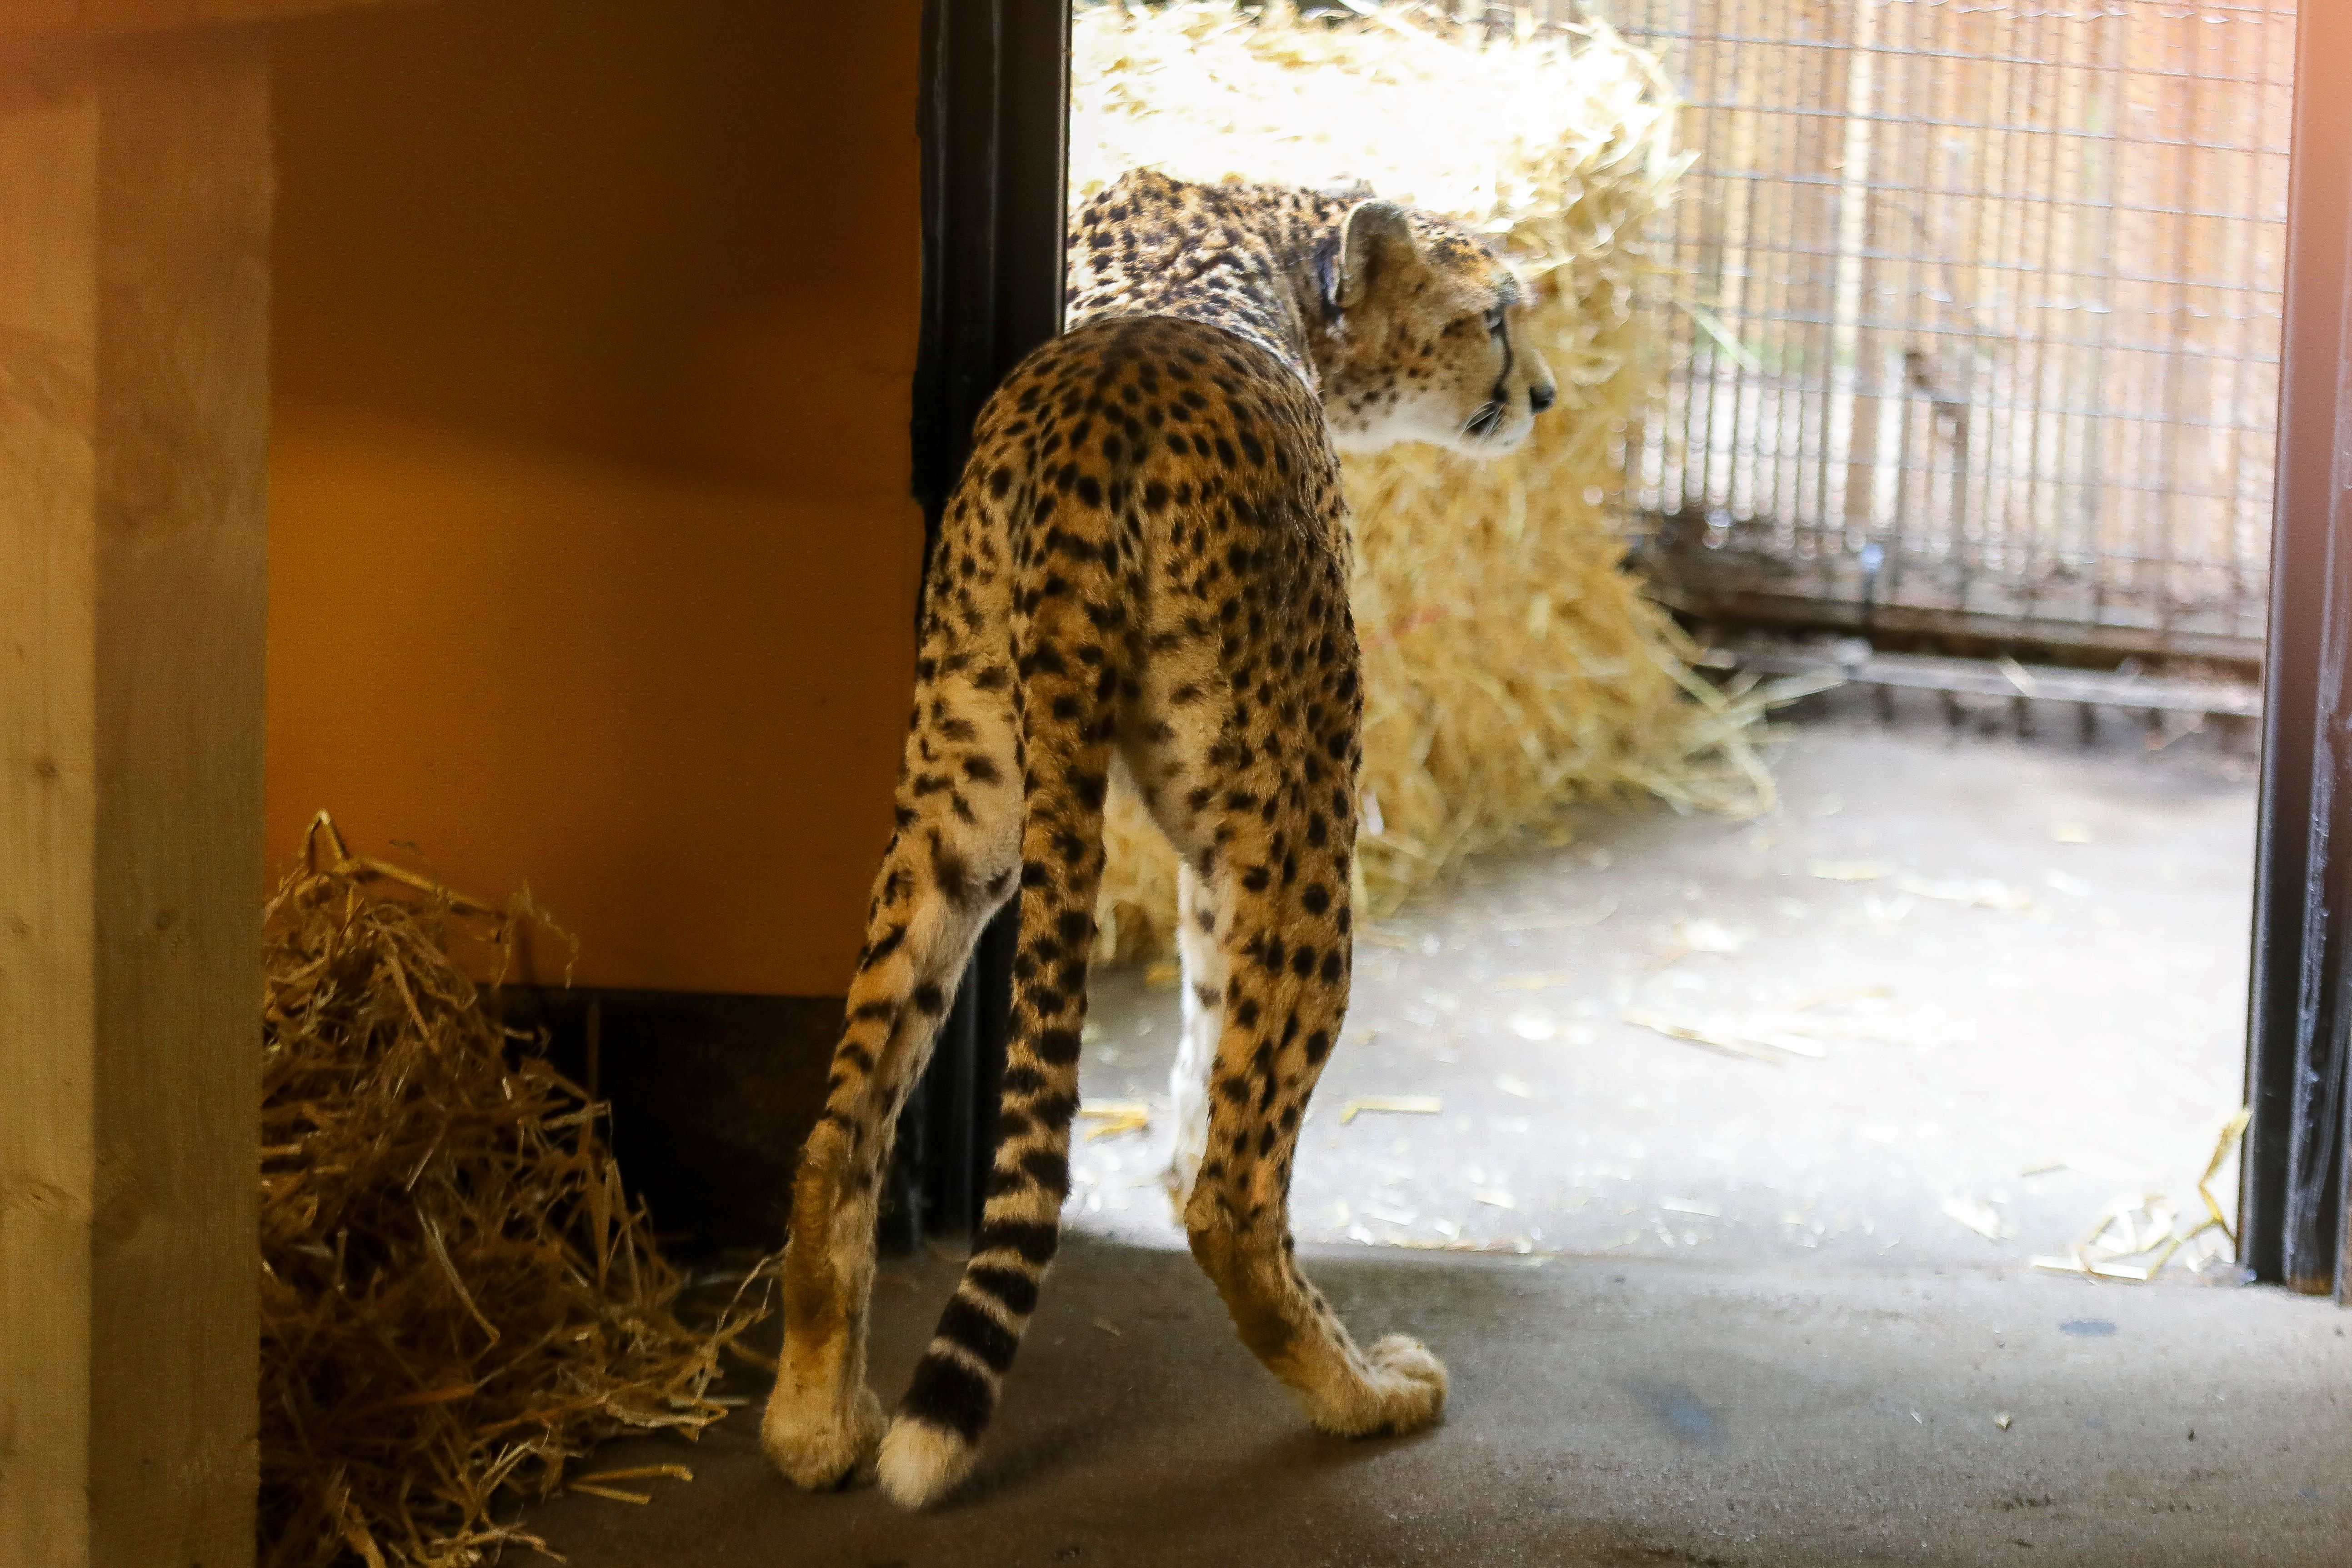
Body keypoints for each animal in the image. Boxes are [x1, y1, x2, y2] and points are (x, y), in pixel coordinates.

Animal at [762, 162, 1552, 1504]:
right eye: (1491, 318)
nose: (1541, 395)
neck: (1273, 230)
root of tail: (1096, 416)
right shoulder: (1264, 815)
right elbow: (1214, 1029)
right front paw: (1190, 1149)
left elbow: (1200, 1002)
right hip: (1306, 828)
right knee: (1236, 1203)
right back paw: (1368, 1393)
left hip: (960, 803)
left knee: (839, 1128)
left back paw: (813, 1421)